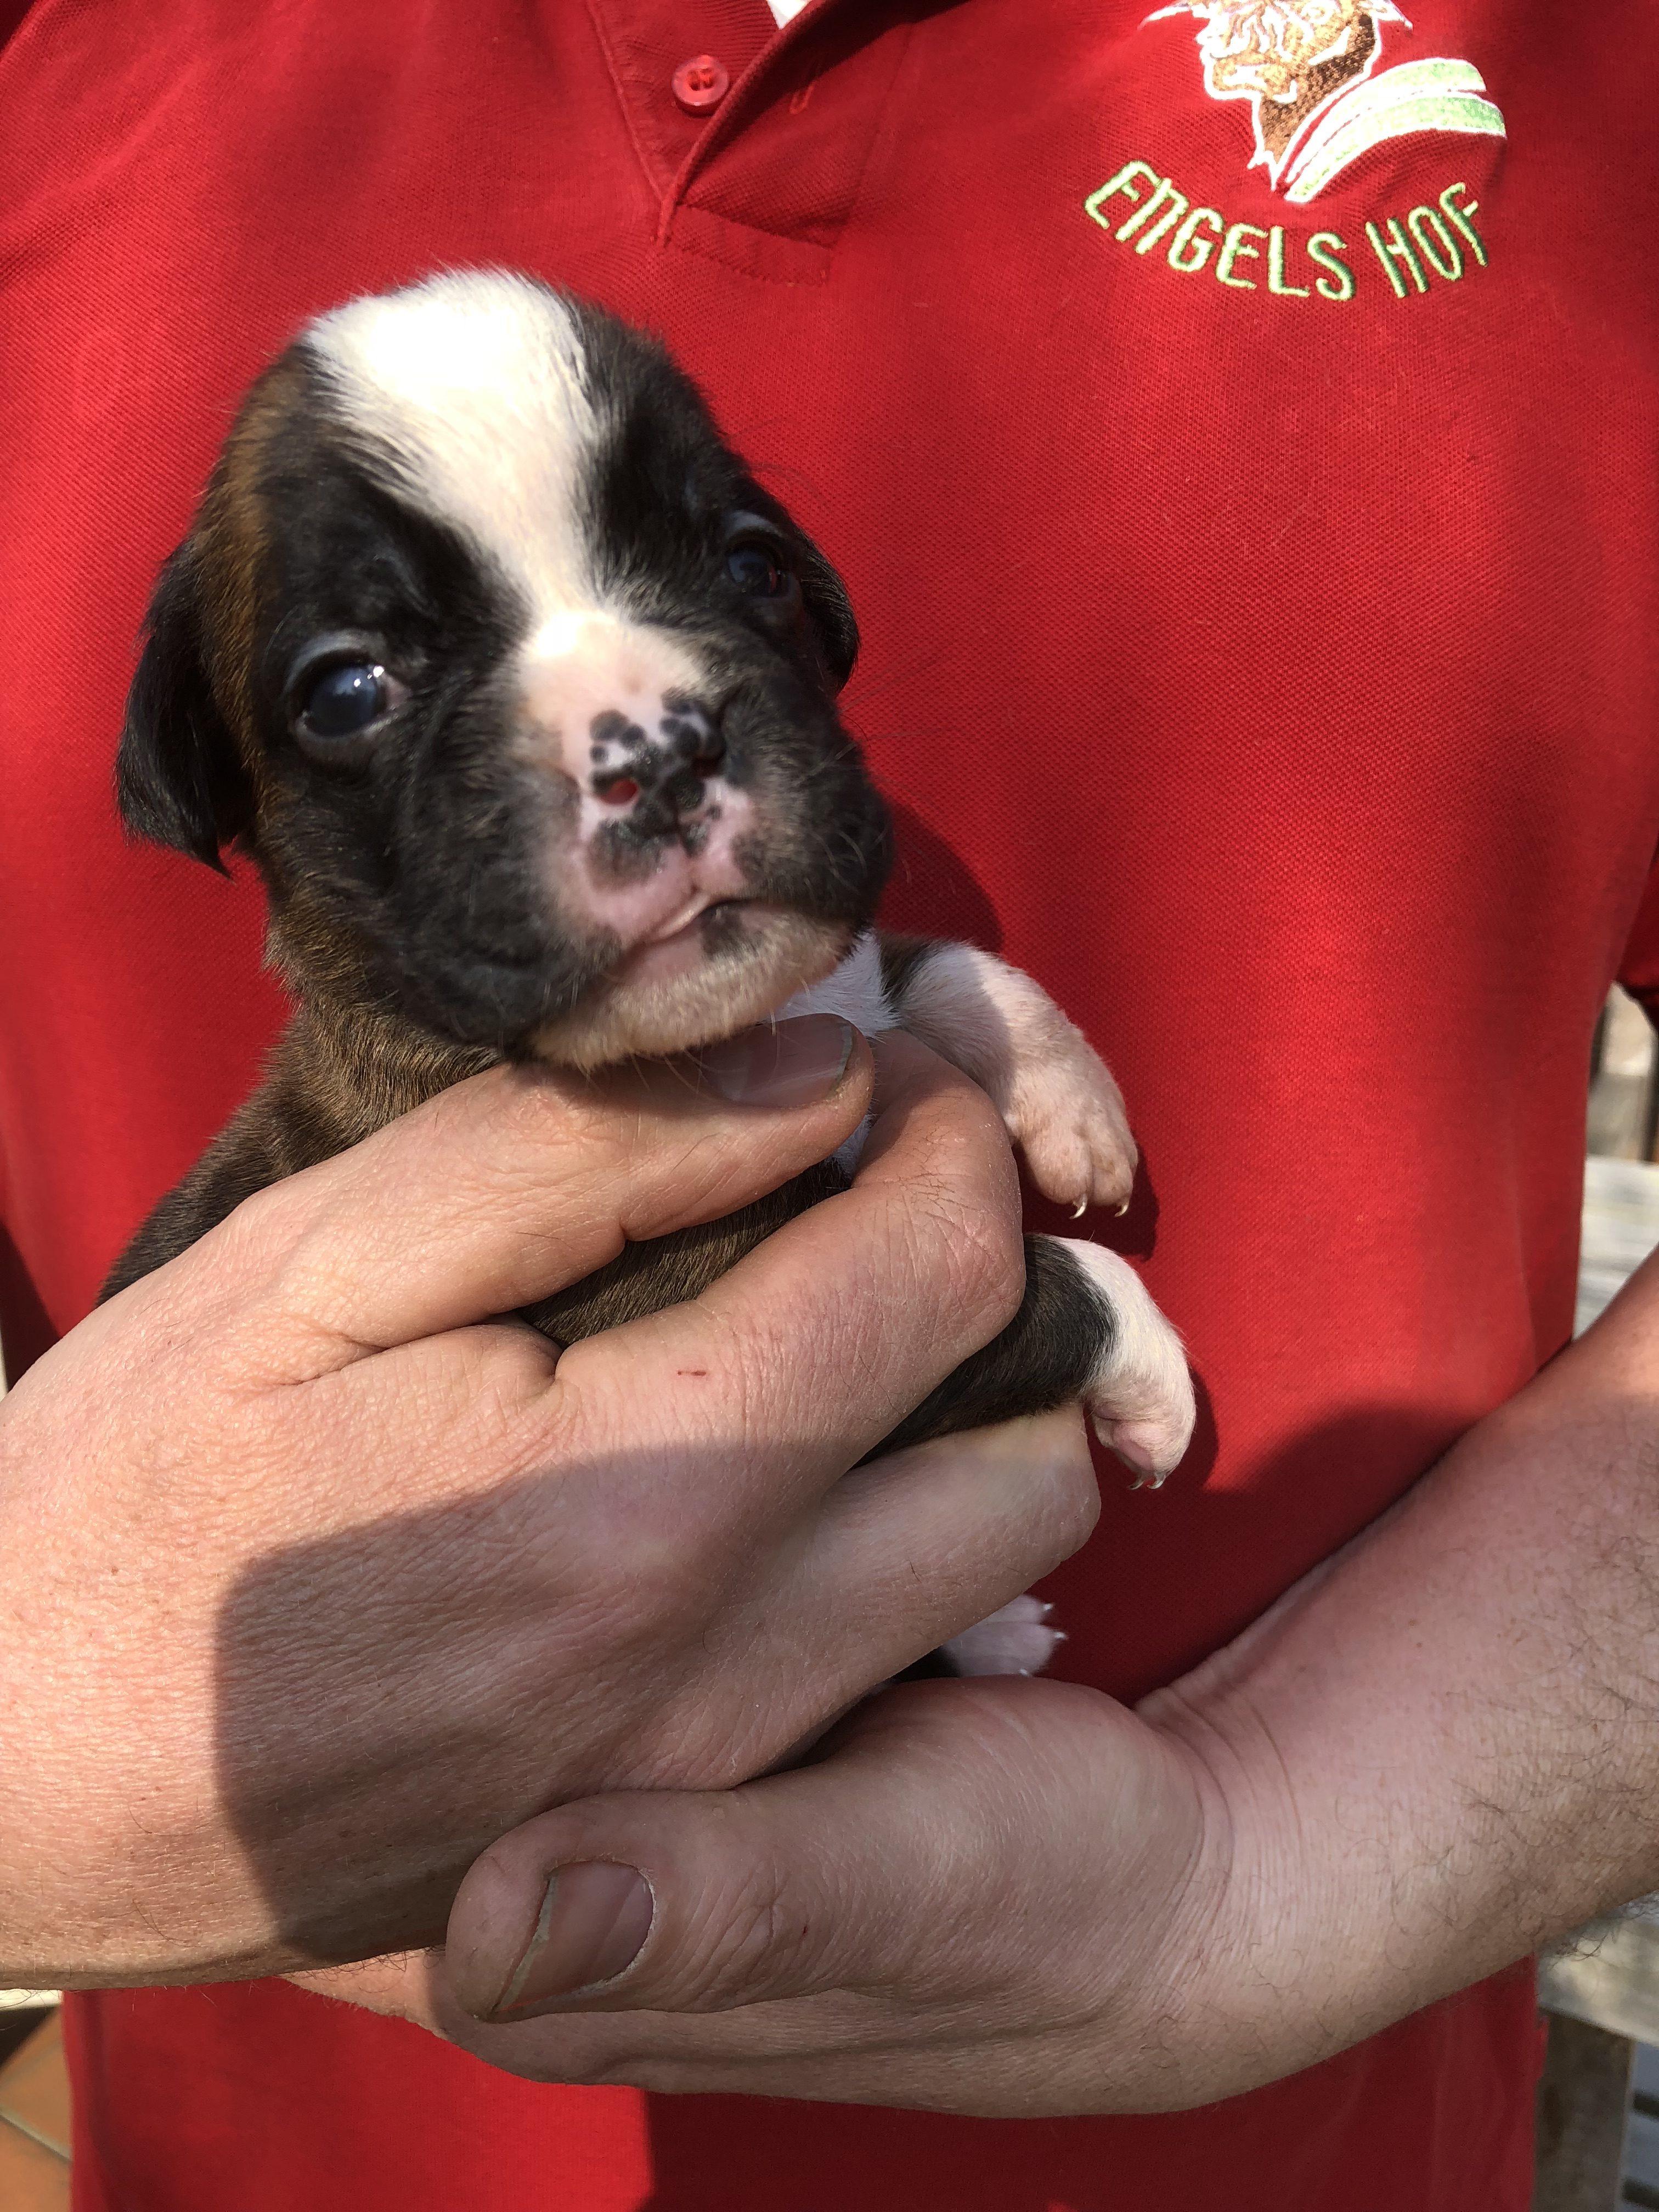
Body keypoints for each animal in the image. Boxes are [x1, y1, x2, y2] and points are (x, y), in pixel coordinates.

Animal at [104, 272, 1195, 1675]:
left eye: (753, 566)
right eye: (347, 691)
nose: (658, 750)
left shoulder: (845, 980)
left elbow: (930, 963)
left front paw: (1072, 1099)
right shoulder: (713, 1301)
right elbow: (1037, 1283)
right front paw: (1152, 1367)